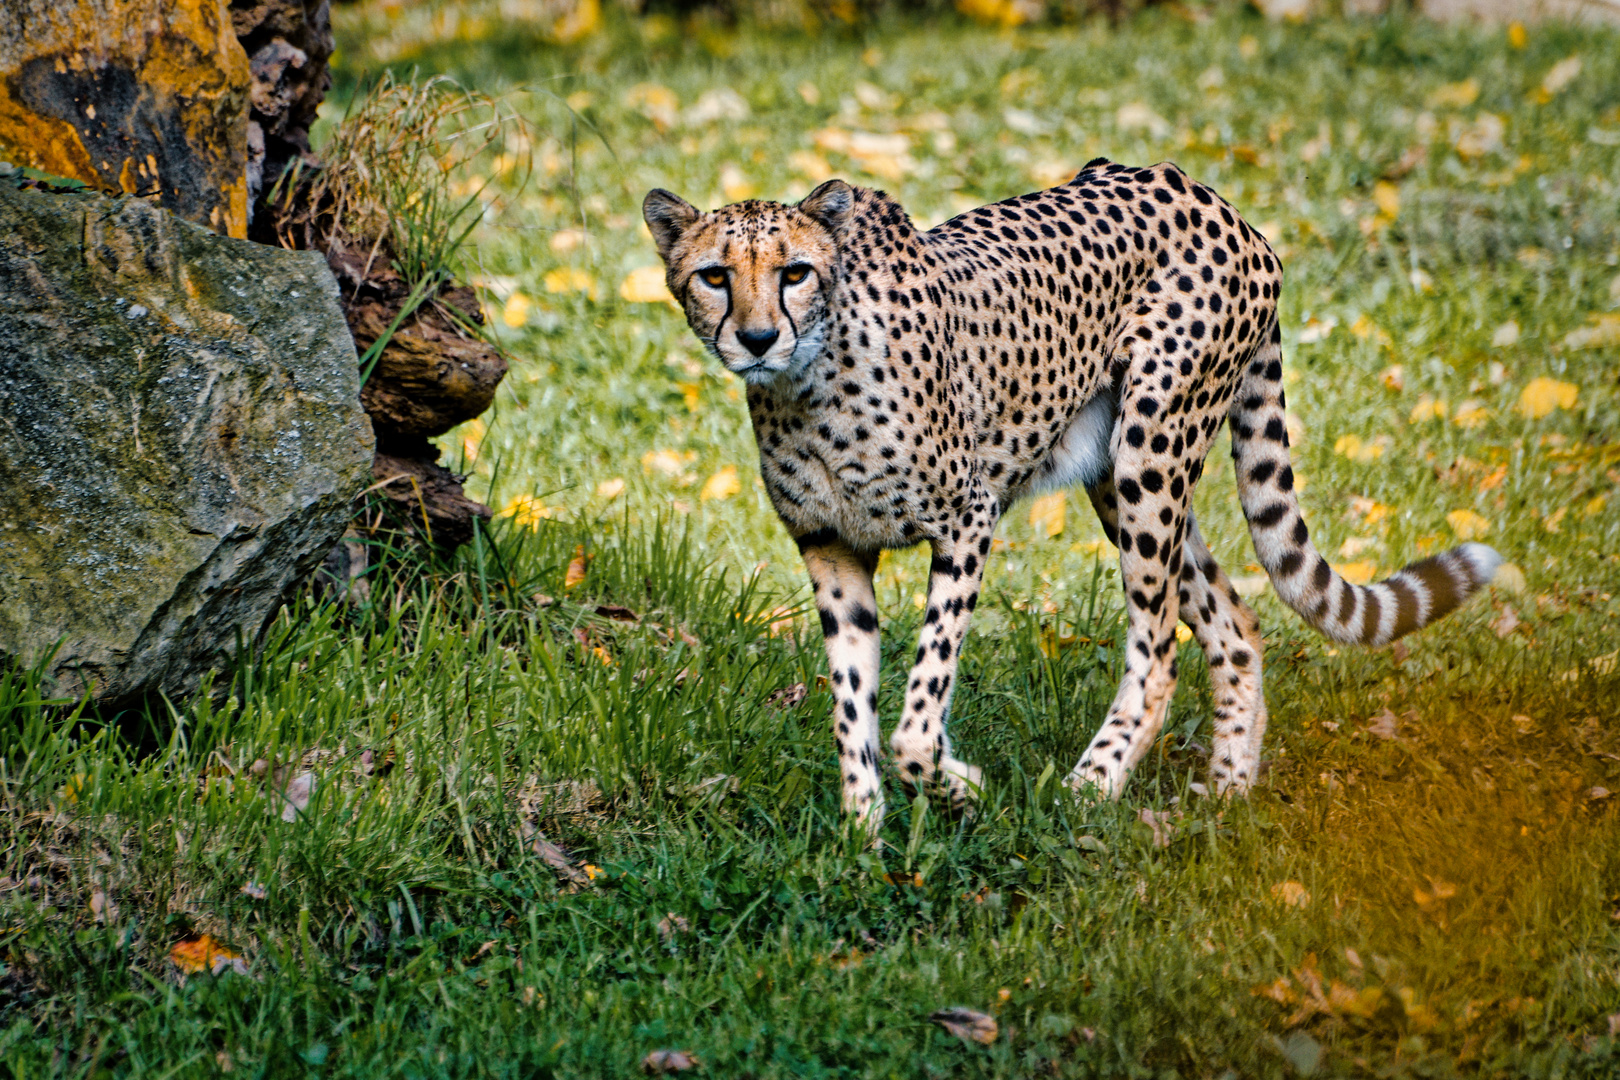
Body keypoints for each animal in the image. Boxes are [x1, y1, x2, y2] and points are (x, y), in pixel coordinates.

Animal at [638, 162, 1496, 835]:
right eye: (715, 276)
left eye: (795, 273)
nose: (756, 338)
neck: (804, 385)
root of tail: (1215, 200)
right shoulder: (832, 550)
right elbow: (855, 711)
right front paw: (862, 833)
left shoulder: (967, 519)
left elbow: (918, 716)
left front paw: (958, 785)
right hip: (1114, 477)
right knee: (1233, 621)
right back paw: (1226, 792)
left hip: (1154, 452)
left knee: (1158, 649)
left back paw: (1092, 785)